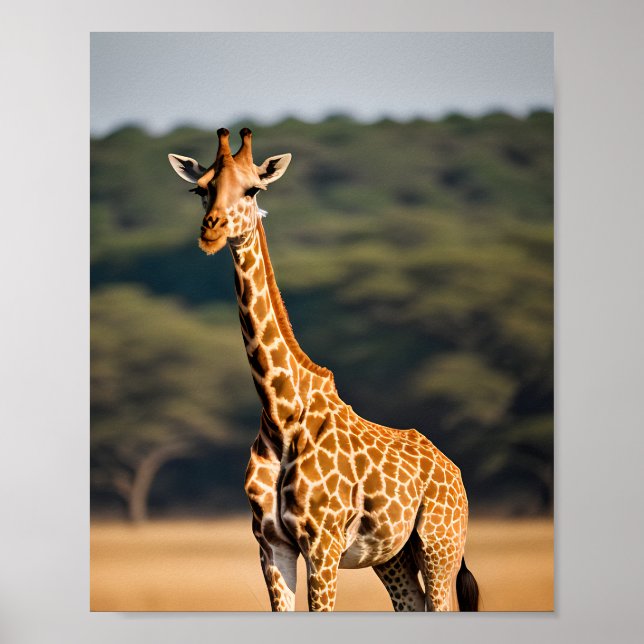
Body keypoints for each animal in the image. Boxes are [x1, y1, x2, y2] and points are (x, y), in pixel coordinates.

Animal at [168, 127, 479, 612]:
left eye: (253, 189)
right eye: (200, 189)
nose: (212, 230)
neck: (280, 412)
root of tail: (455, 472)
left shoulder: (323, 543)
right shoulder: (270, 544)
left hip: (440, 544)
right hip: (391, 556)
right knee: (409, 602)